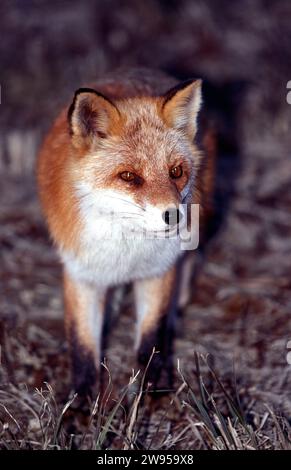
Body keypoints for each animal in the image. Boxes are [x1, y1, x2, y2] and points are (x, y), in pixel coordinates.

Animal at [37, 68, 216, 394]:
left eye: (176, 172)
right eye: (129, 176)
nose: (175, 216)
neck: (127, 251)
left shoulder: (158, 270)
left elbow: (151, 337)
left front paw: (155, 388)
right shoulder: (81, 272)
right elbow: (82, 345)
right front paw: (81, 400)